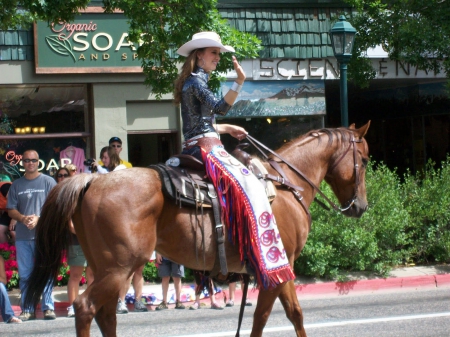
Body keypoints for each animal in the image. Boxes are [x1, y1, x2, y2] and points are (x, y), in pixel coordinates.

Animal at [23, 122, 370, 334]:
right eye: (365, 160)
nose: (361, 207)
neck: (285, 186)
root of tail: (92, 180)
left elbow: (269, 316)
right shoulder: (280, 267)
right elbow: (283, 315)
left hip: (104, 267)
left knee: (105, 315)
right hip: (119, 267)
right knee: (85, 308)